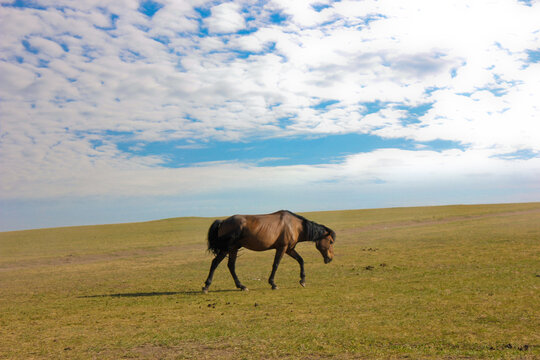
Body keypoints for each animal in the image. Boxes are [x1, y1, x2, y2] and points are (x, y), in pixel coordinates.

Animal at [202, 211, 336, 292]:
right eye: (330, 241)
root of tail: (223, 221)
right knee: (216, 263)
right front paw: (273, 284)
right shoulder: (282, 248)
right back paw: (206, 286)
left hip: (233, 249)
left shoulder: (289, 249)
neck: (295, 226)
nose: (330, 258)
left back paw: (241, 286)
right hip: (227, 248)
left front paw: (302, 280)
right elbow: (275, 264)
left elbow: (301, 260)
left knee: (230, 265)